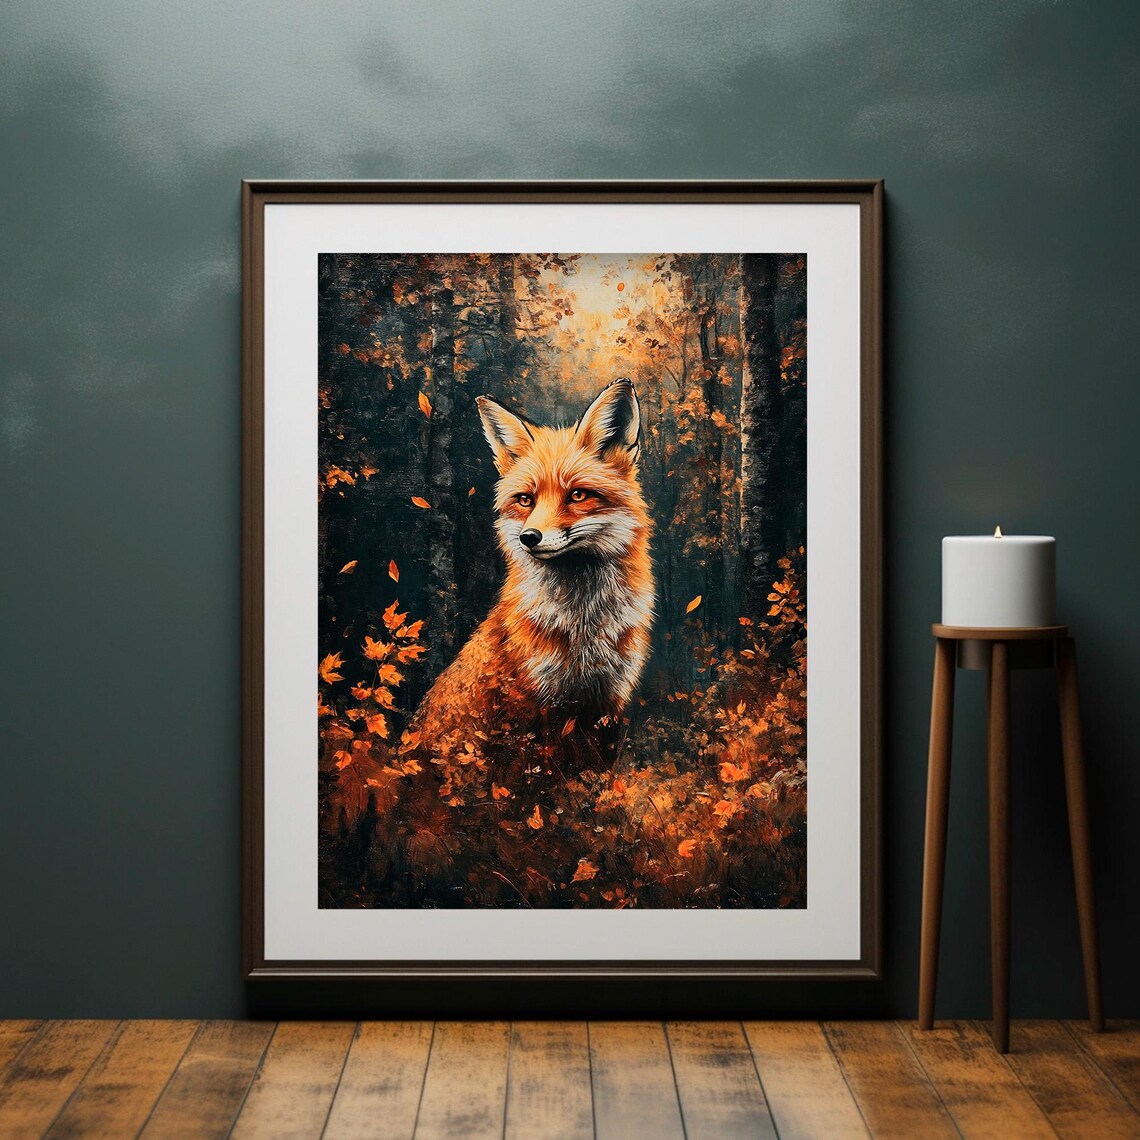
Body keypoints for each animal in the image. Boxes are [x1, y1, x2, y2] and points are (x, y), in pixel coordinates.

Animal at [410, 378, 655, 747]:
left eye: (578, 495)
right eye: (526, 500)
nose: (529, 537)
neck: (583, 630)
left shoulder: (607, 705)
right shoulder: (536, 707)